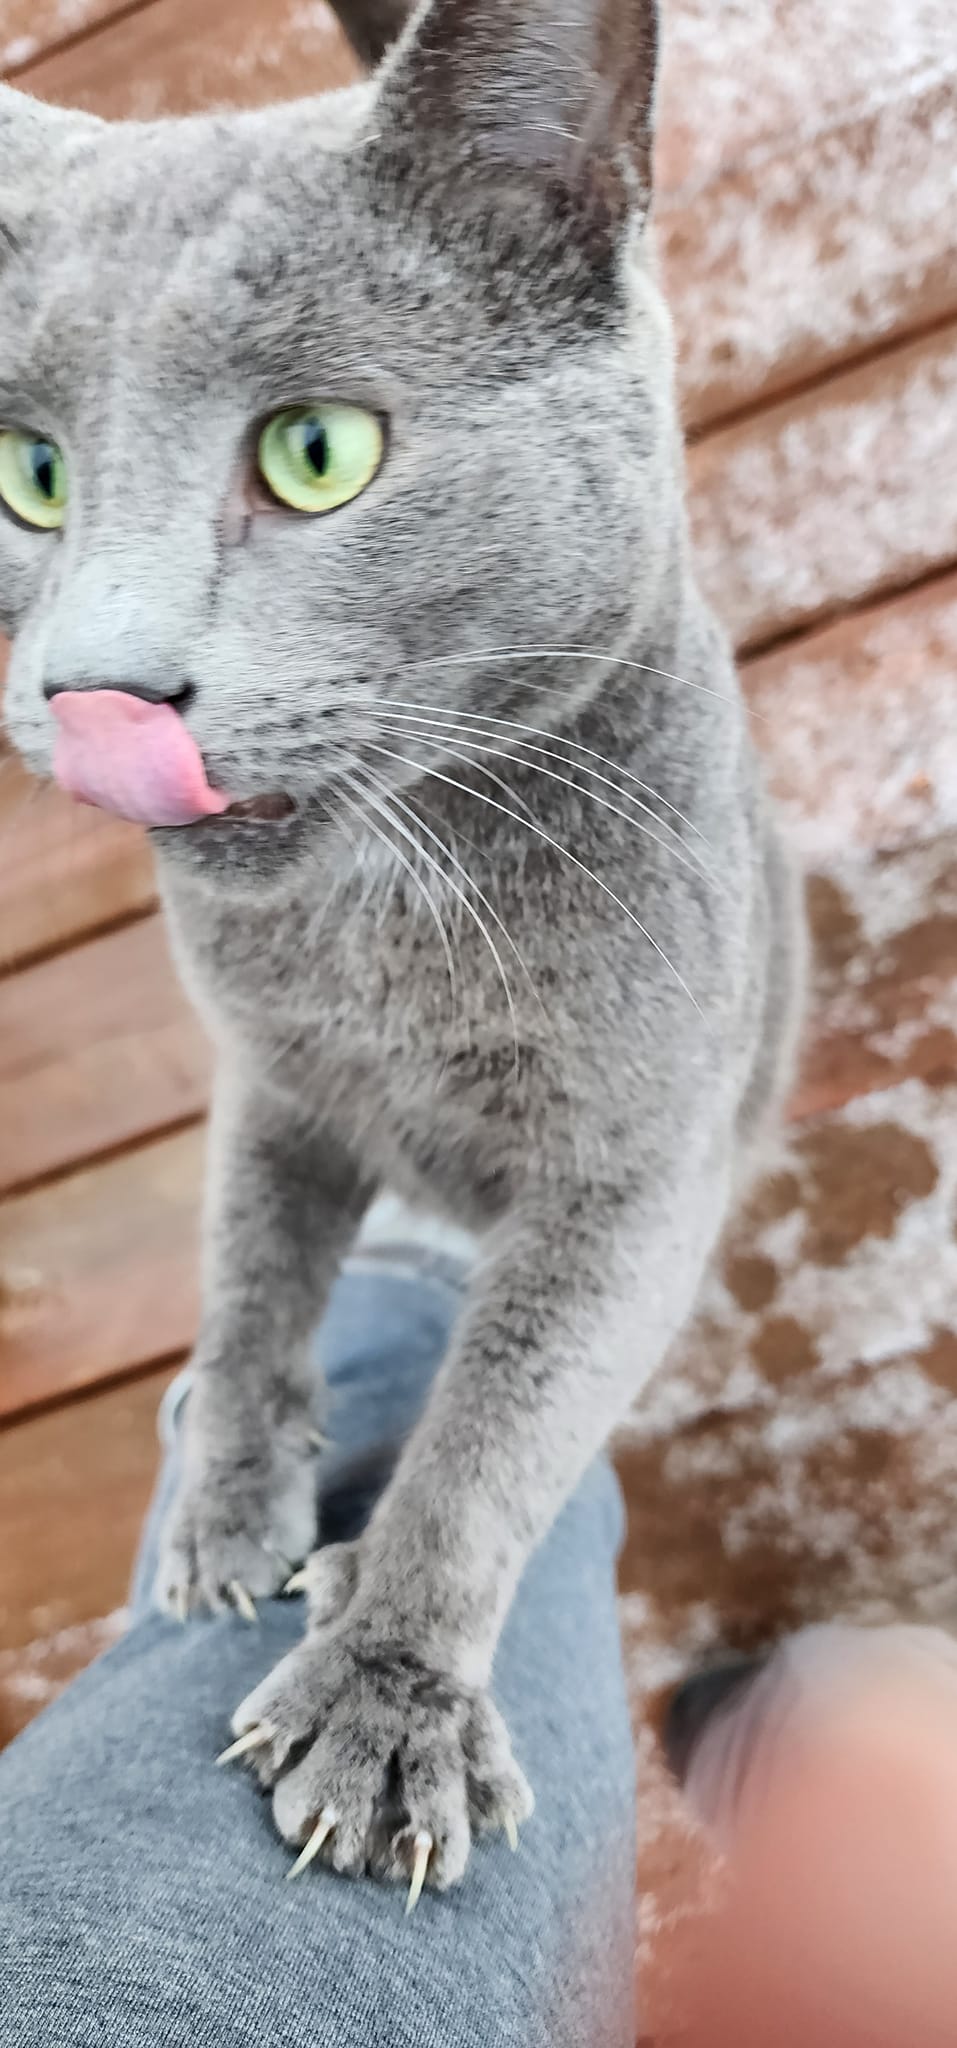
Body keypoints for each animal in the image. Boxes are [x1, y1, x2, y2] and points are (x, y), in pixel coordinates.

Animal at [3, 0, 807, 1892]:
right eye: (32, 477)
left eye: (318, 452)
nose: (91, 696)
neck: (380, 932)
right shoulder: (271, 1077)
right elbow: (245, 1281)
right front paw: (229, 1503)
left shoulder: (635, 1169)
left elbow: (501, 1420)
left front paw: (385, 1698)